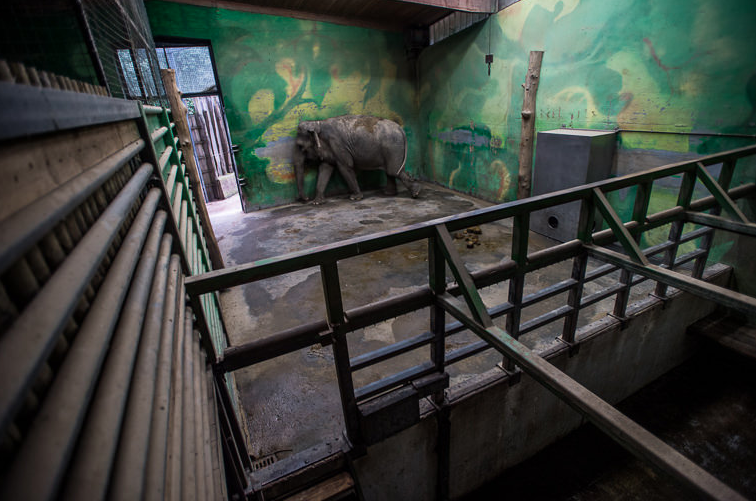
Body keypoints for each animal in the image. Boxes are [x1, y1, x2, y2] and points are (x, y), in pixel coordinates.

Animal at [294, 114, 422, 203]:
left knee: (394, 171)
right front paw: (317, 202)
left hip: (393, 147)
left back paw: (415, 192)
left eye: (300, 146)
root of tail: (401, 129)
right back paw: (389, 193)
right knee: (391, 171)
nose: (306, 199)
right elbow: (325, 169)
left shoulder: (338, 145)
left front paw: (355, 198)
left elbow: (345, 167)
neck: (318, 124)